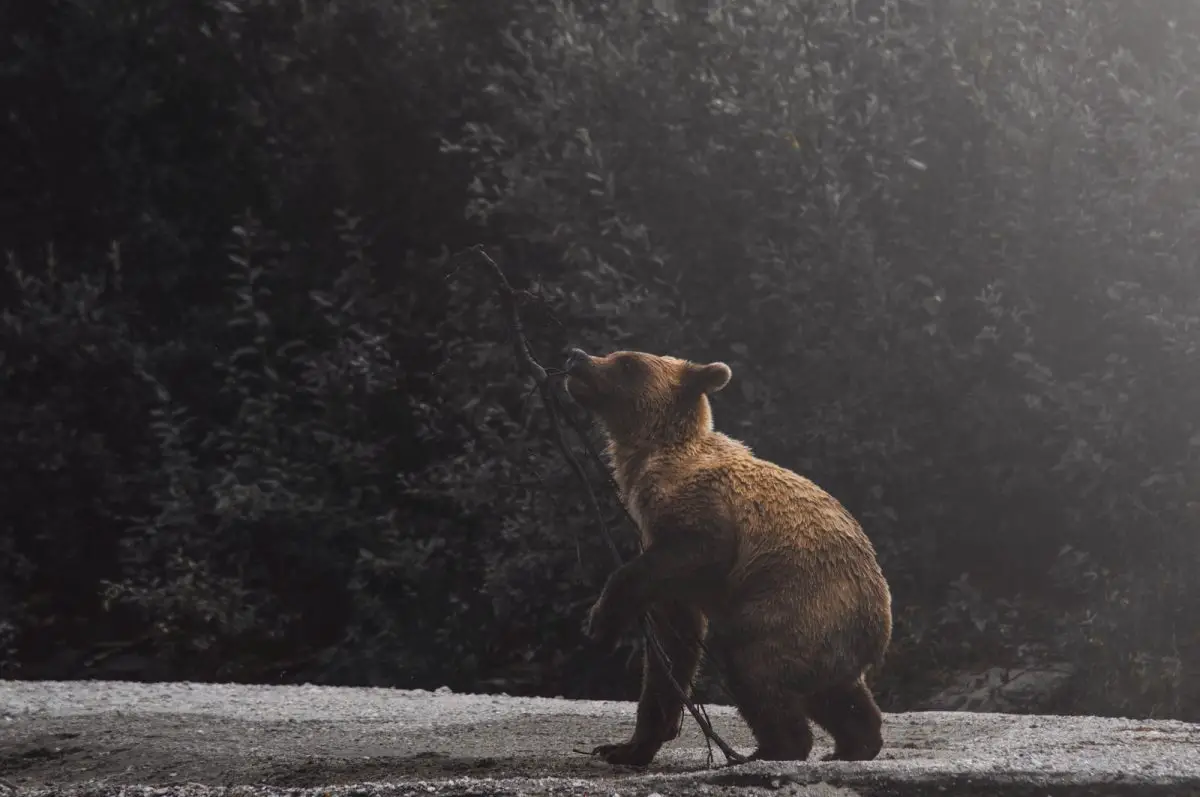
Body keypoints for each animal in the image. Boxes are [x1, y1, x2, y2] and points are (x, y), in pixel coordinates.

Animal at [566, 348, 897, 768]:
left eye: (627, 362)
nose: (577, 357)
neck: (647, 464)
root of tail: (881, 623)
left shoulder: (701, 516)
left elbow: (694, 554)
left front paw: (600, 622)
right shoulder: (661, 558)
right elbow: (670, 651)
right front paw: (625, 747)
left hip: (798, 605)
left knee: (754, 666)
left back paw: (772, 748)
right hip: (827, 636)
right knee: (835, 692)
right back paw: (853, 744)